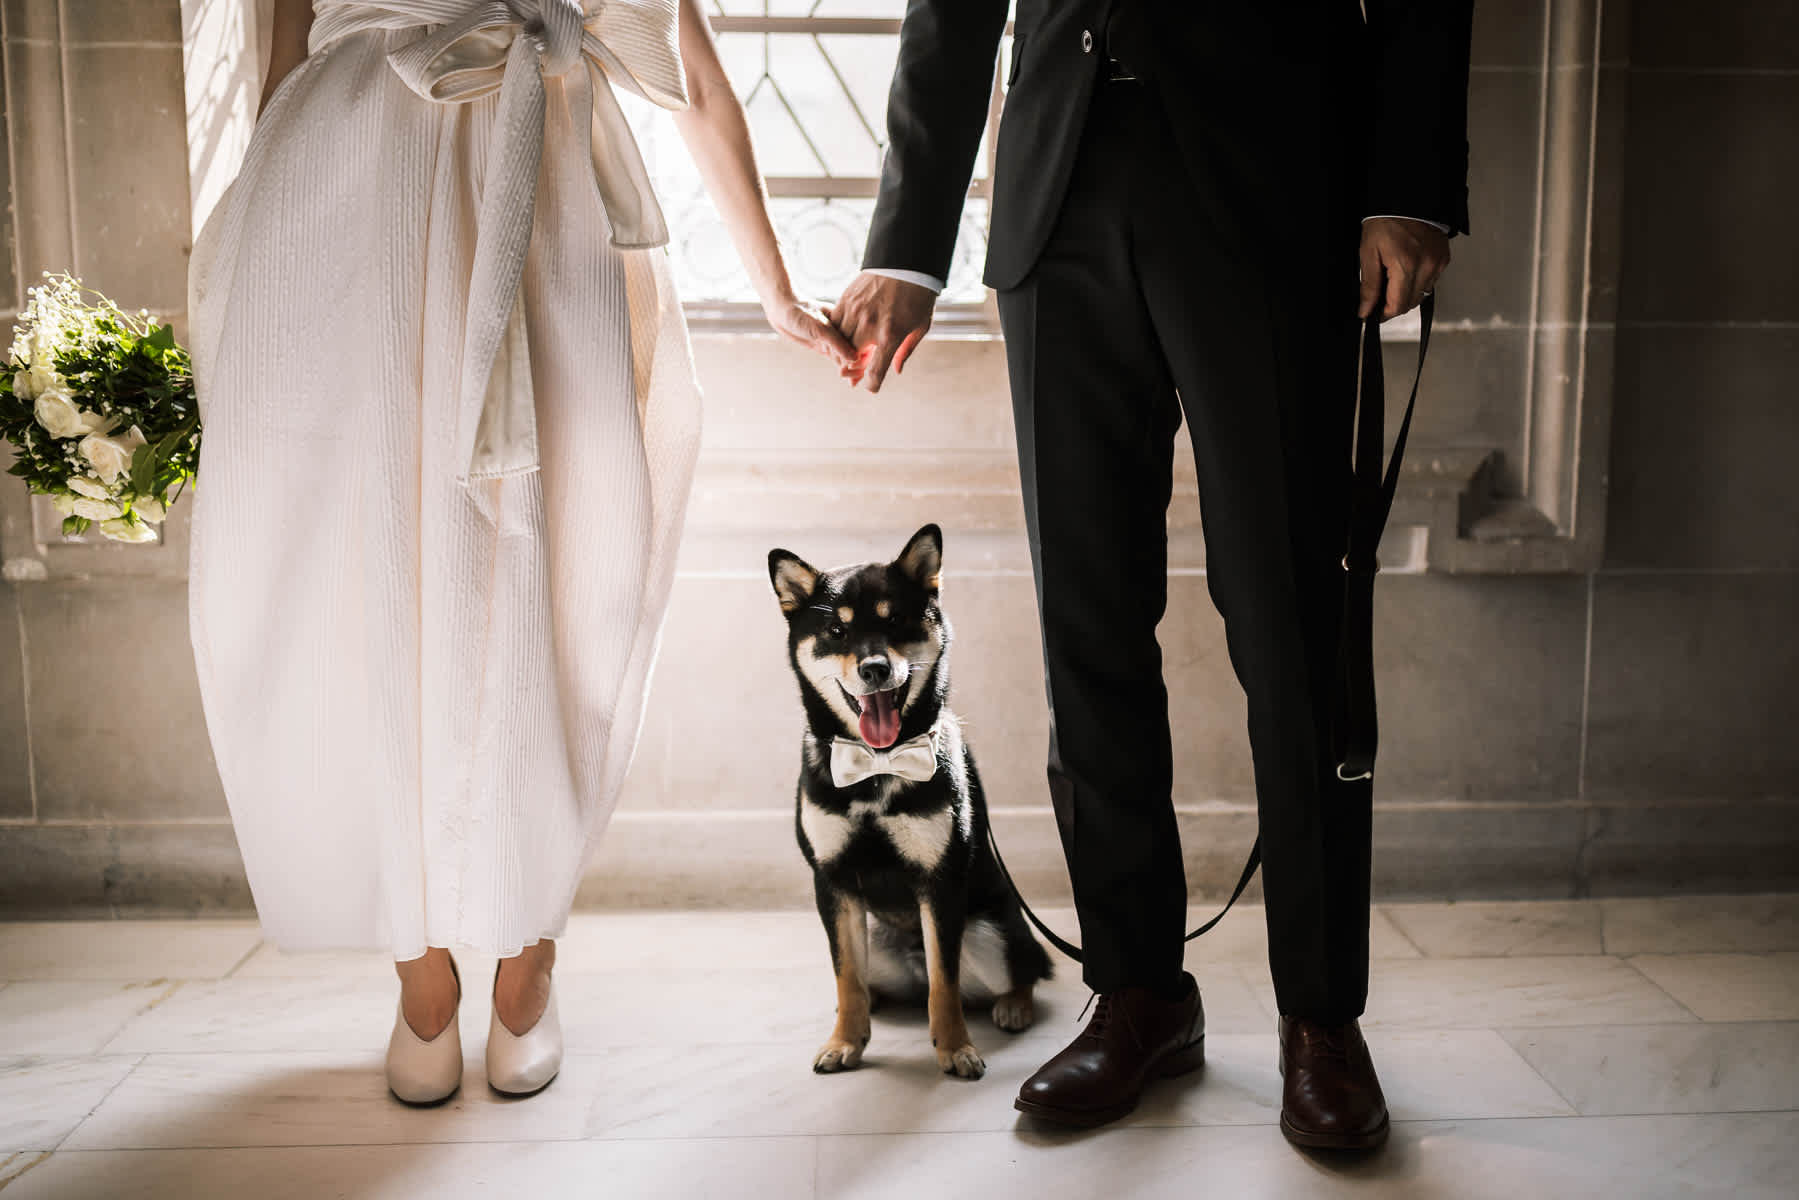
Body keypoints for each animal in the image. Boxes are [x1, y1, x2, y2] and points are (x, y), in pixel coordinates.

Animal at [762, 525, 1050, 1079]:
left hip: (991, 933)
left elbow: (945, 982)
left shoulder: (940, 883)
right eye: (836, 631)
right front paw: (844, 1042)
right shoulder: (833, 881)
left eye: (894, 620)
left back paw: (1013, 1007)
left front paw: (956, 1049)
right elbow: (847, 978)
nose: (875, 668)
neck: (879, 762)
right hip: (874, 936)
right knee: (867, 980)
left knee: (1022, 969)